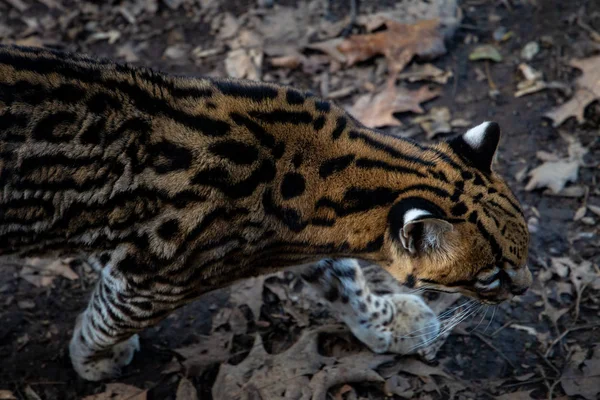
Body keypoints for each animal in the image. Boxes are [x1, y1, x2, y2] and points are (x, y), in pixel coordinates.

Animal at [0, 44, 532, 382]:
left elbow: (345, 281)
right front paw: (92, 359)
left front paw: (387, 324)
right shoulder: (152, 280)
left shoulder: (308, 240)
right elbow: (108, 320)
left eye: (525, 253)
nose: (527, 288)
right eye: (490, 275)